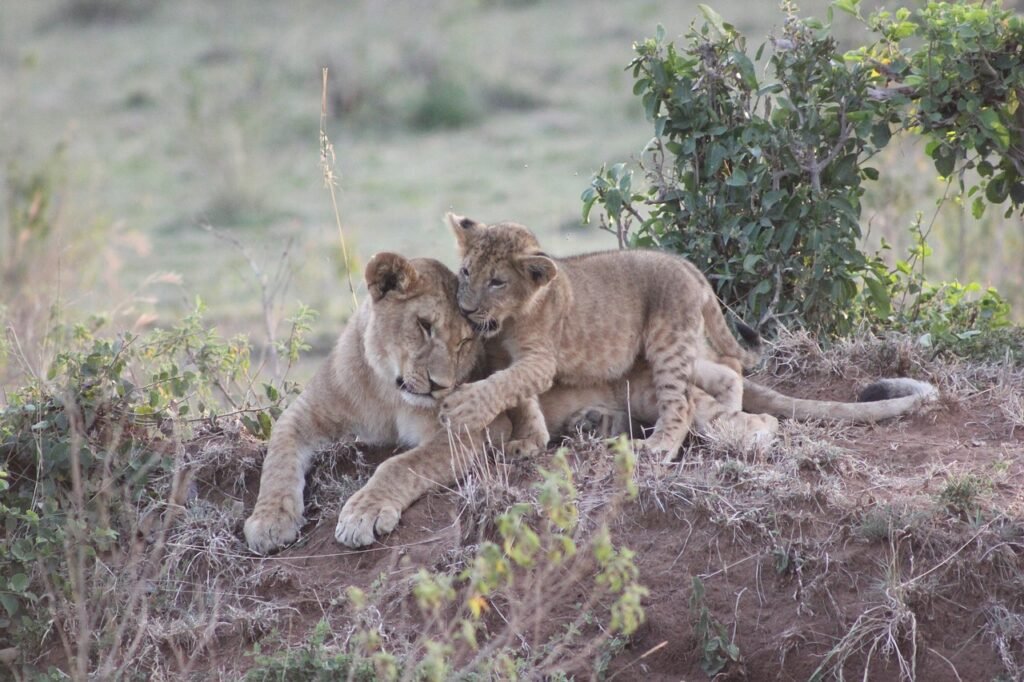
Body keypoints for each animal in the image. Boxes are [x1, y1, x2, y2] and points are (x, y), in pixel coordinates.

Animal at [243, 252, 507, 554]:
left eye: (464, 342)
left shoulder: (463, 432)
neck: (390, 395)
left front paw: (362, 515)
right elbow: (278, 461)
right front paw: (269, 520)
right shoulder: (303, 413)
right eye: (424, 325)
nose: (440, 385)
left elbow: (402, 464)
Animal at [440, 213, 759, 461]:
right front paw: (530, 442)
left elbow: (504, 385)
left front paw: (461, 410)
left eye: (497, 282)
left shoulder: (541, 360)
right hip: (674, 348)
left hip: (668, 342)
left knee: (683, 403)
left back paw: (659, 447)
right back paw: (726, 421)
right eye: (466, 272)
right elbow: (520, 398)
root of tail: (686, 266)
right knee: (729, 369)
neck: (508, 321)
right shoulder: (505, 357)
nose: (466, 310)